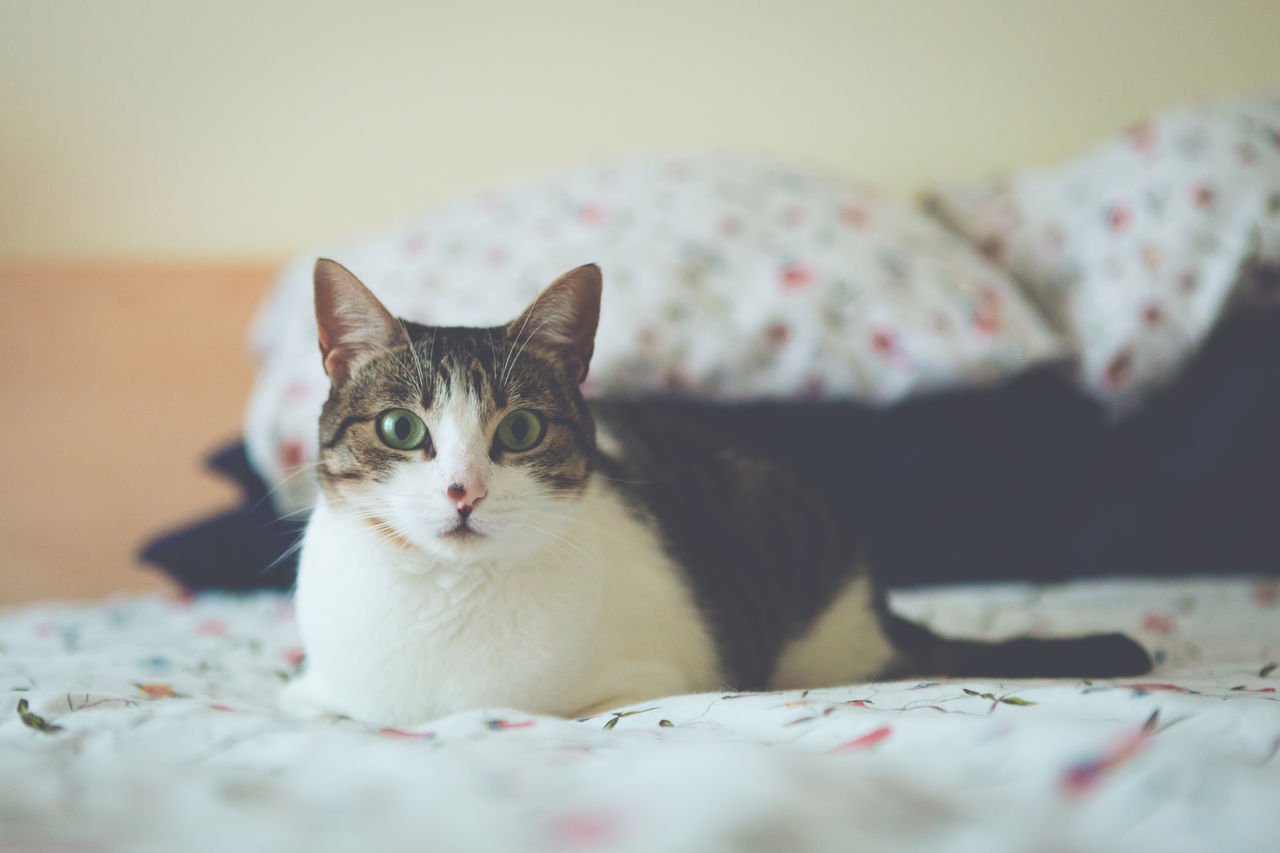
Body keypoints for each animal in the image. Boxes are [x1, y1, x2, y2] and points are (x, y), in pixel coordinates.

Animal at [280, 258, 1152, 722]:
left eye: (520, 429)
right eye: (402, 428)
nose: (464, 491)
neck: (444, 607)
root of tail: (875, 606)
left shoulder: (649, 680)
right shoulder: (318, 694)